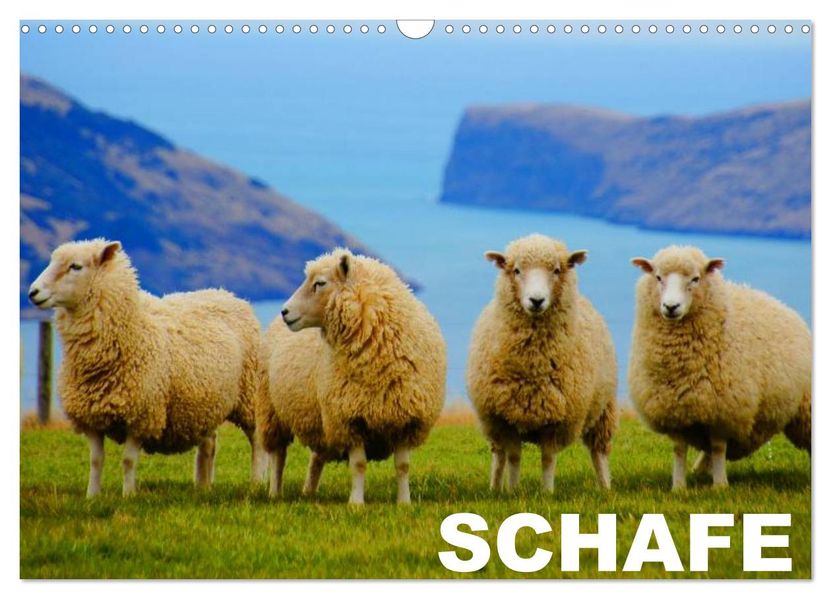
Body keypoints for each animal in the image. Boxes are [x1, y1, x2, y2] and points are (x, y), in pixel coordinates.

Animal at [28, 239, 266, 496]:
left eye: (76, 266)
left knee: (257, 441)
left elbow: (128, 460)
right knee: (209, 444)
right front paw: (92, 496)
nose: (33, 292)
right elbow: (96, 460)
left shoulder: (142, 415)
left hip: (250, 396)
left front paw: (128, 495)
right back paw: (202, 486)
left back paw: (257, 482)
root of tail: (227, 294)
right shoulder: (91, 418)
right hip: (205, 402)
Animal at [258, 248, 447, 505]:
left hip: (320, 418)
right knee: (279, 455)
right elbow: (358, 465)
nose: (285, 311)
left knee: (316, 457)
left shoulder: (405, 418)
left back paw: (309, 492)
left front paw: (404, 502)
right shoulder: (350, 418)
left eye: (320, 283)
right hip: (273, 411)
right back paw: (275, 493)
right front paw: (356, 503)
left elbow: (403, 466)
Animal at [467, 233, 618, 492]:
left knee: (599, 452)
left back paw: (605, 487)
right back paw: (495, 487)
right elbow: (514, 457)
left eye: (556, 270)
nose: (536, 300)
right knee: (499, 456)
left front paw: (547, 492)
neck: (533, 365)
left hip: (604, 409)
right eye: (516, 270)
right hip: (491, 424)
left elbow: (548, 459)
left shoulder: (557, 420)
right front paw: (512, 491)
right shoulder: (505, 419)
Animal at [628, 245, 811, 490]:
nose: (671, 307)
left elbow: (718, 448)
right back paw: (700, 470)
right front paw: (679, 487)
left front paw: (720, 486)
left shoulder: (724, 409)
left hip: (806, 407)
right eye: (658, 277)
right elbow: (679, 449)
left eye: (696, 279)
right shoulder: (674, 409)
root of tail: (785, 307)